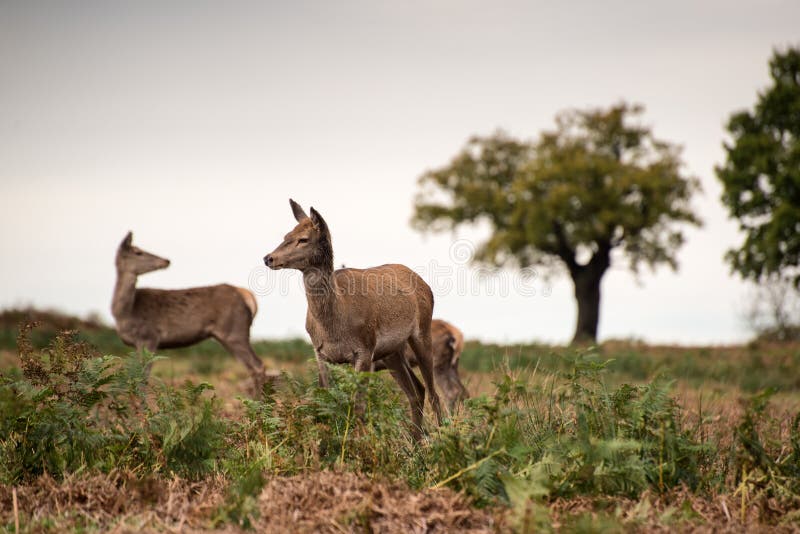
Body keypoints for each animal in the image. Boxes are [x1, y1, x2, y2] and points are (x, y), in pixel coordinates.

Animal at [111, 231, 272, 393]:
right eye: (138, 252)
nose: (166, 260)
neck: (126, 313)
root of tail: (248, 295)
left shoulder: (149, 336)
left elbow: (143, 375)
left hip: (234, 331)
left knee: (257, 365)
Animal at [263, 200, 443, 439]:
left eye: (304, 239)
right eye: (286, 235)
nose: (268, 258)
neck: (335, 325)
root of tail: (427, 286)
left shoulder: (364, 349)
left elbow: (358, 406)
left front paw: (356, 445)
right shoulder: (321, 353)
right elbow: (326, 401)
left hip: (422, 331)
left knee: (433, 393)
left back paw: (444, 435)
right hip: (392, 352)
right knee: (417, 391)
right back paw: (415, 441)